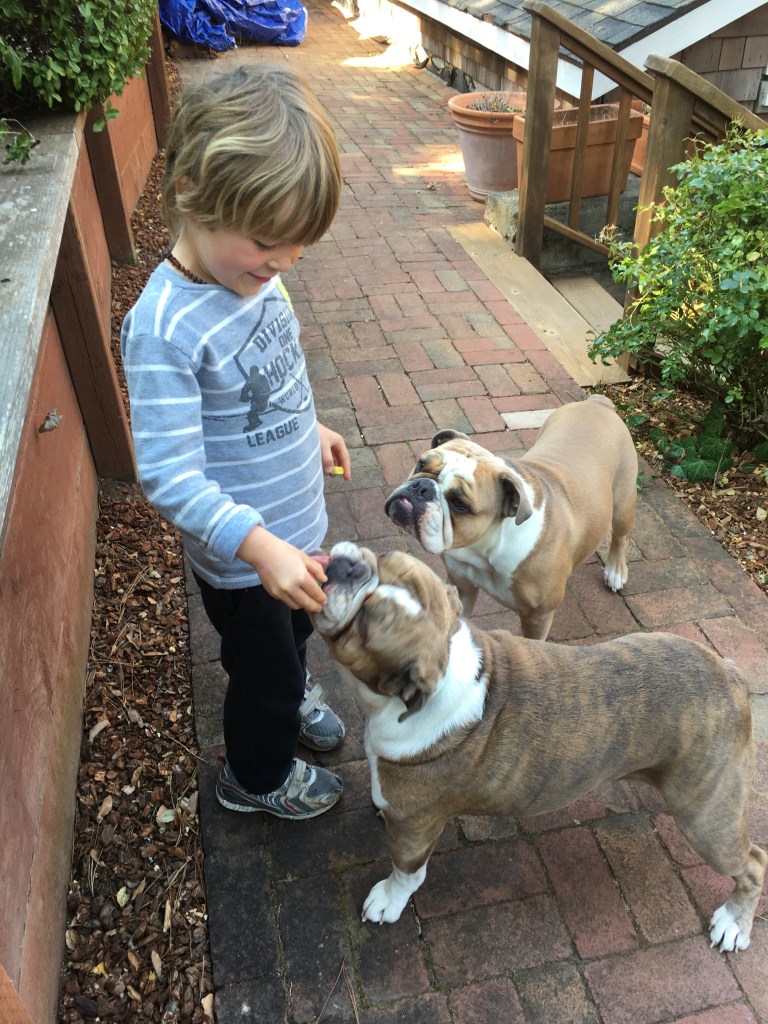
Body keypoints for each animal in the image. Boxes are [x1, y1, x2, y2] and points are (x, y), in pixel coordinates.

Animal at [313, 541, 767, 951]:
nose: (350, 569)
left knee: (752, 863)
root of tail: (731, 674)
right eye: (384, 556)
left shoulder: (413, 827)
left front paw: (389, 900)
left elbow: (406, 872)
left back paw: (734, 924)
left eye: (364, 625)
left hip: (706, 821)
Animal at [385, 395, 638, 640]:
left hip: (623, 501)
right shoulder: (461, 585)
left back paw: (615, 571)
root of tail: (598, 403)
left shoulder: (538, 617)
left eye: (459, 504)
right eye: (421, 464)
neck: (485, 548)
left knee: (620, 535)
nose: (422, 488)